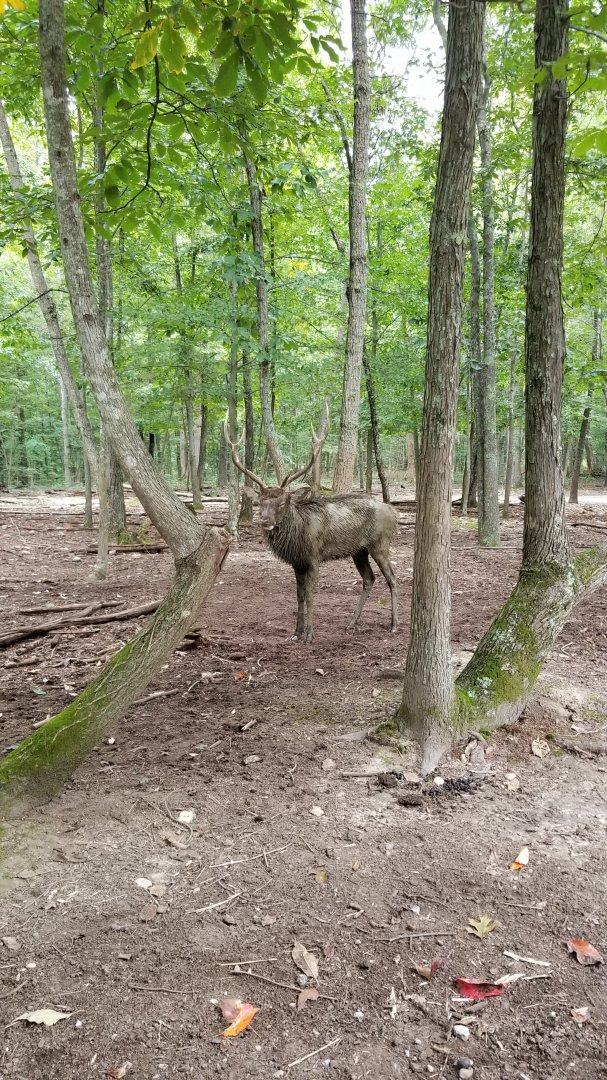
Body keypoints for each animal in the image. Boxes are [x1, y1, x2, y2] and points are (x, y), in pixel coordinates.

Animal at [223, 403, 398, 642]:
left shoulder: (314, 557)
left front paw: (309, 634)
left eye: (282, 502)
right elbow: (298, 596)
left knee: (392, 578)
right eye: (260, 502)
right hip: (359, 550)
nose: (265, 521)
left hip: (380, 544)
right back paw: (352, 623)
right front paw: (295, 633)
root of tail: (392, 510)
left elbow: (309, 594)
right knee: (369, 579)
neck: (298, 535)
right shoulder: (297, 563)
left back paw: (394, 625)